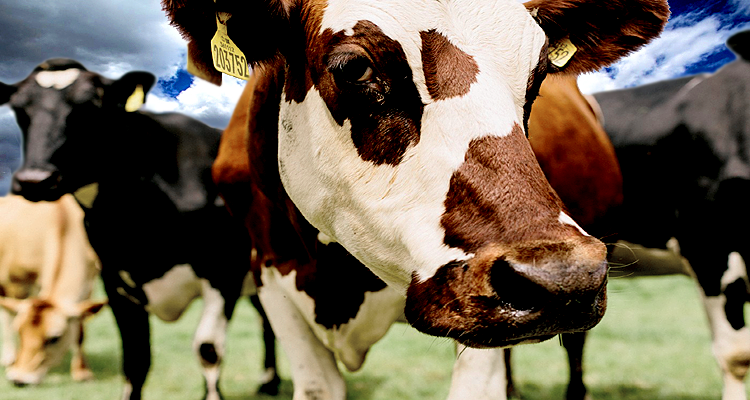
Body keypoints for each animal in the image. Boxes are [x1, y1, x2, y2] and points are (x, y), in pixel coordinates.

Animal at [0, 193, 104, 386]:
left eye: (54, 338)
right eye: (20, 331)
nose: (19, 379)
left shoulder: (89, 282)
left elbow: (80, 329)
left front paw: (82, 371)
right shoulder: (17, 282)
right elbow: (10, 318)